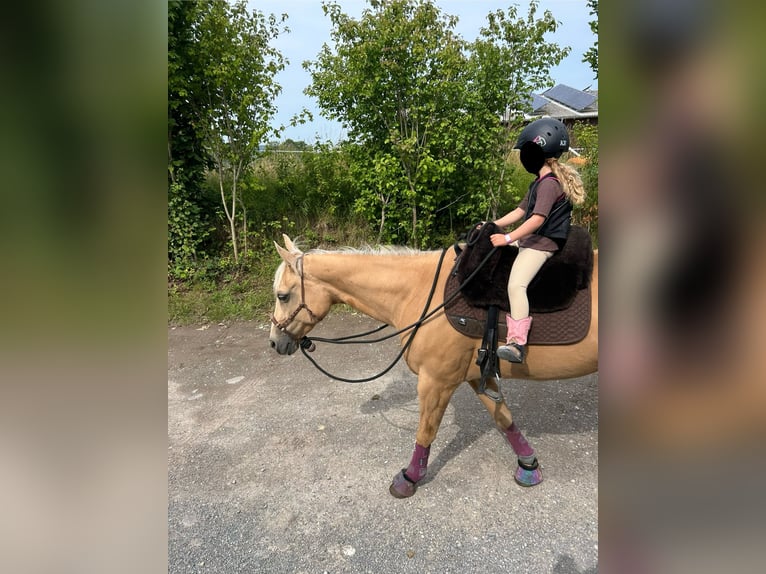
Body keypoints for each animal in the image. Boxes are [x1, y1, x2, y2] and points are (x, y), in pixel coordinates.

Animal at [269, 234, 598, 497]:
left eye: (282, 296)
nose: (274, 342)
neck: (420, 291)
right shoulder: (476, 376)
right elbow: (504, 418)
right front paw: (528, 466)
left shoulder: (436, 381)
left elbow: (426, 432)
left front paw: (408, 478)